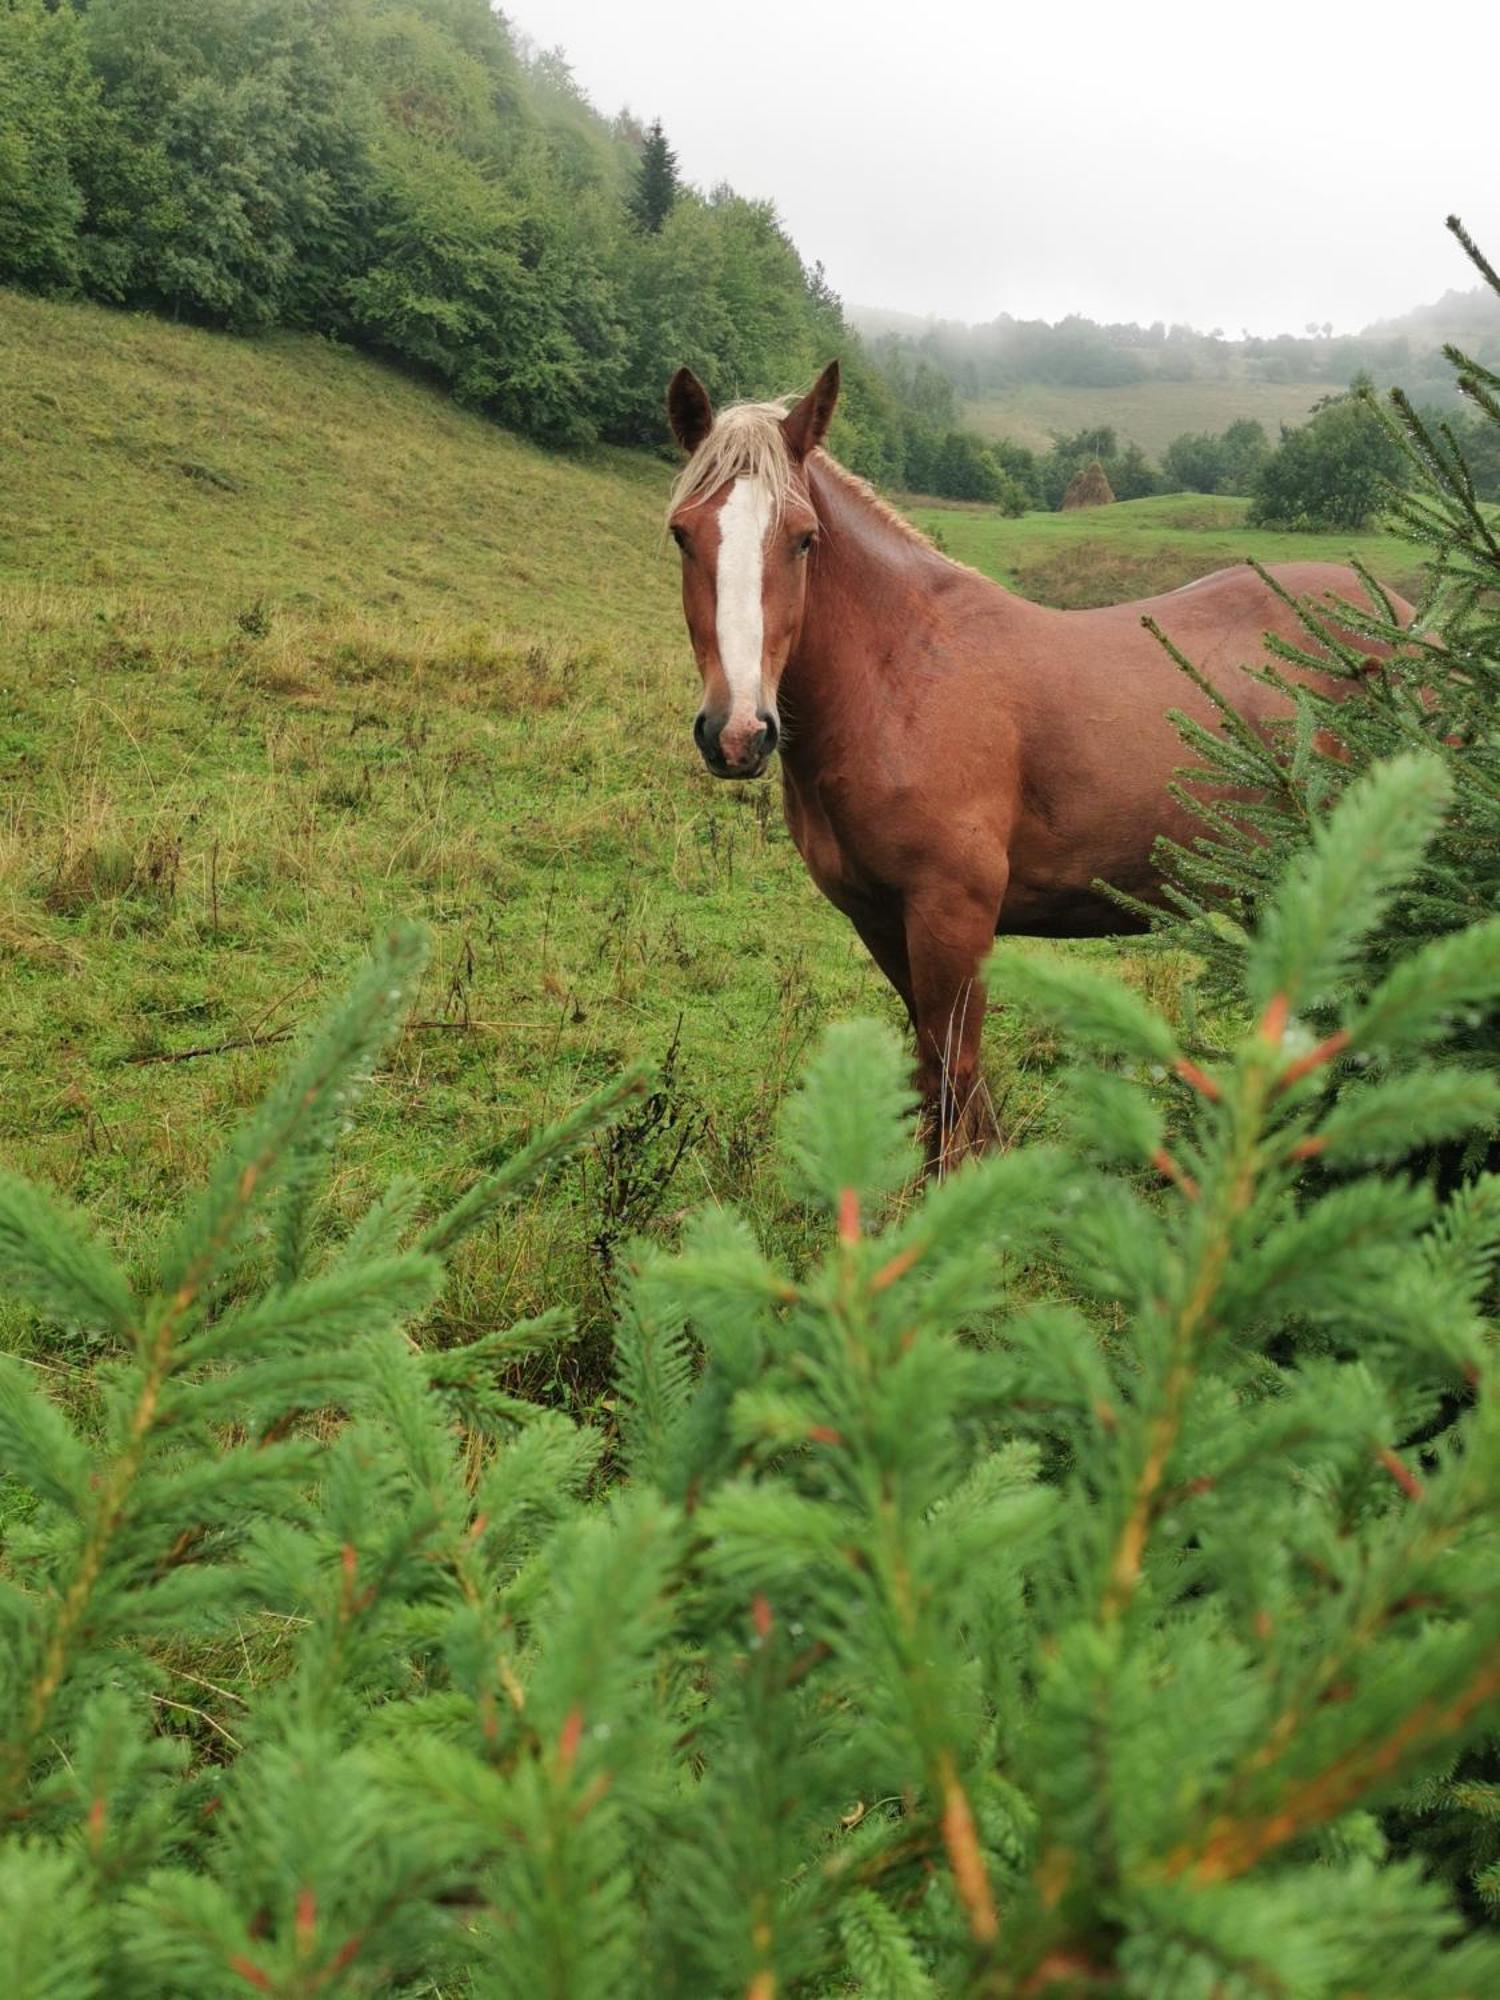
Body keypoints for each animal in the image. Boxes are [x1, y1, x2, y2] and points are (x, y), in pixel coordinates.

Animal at [664, 368, 1416, 1168]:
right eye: (682, 533)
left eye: (804, 538)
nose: (738, 732)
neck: (901, 678)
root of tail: (1407, 622)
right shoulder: (879, 918)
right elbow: (944, 1080)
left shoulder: (952, 915)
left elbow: (950, 1075)